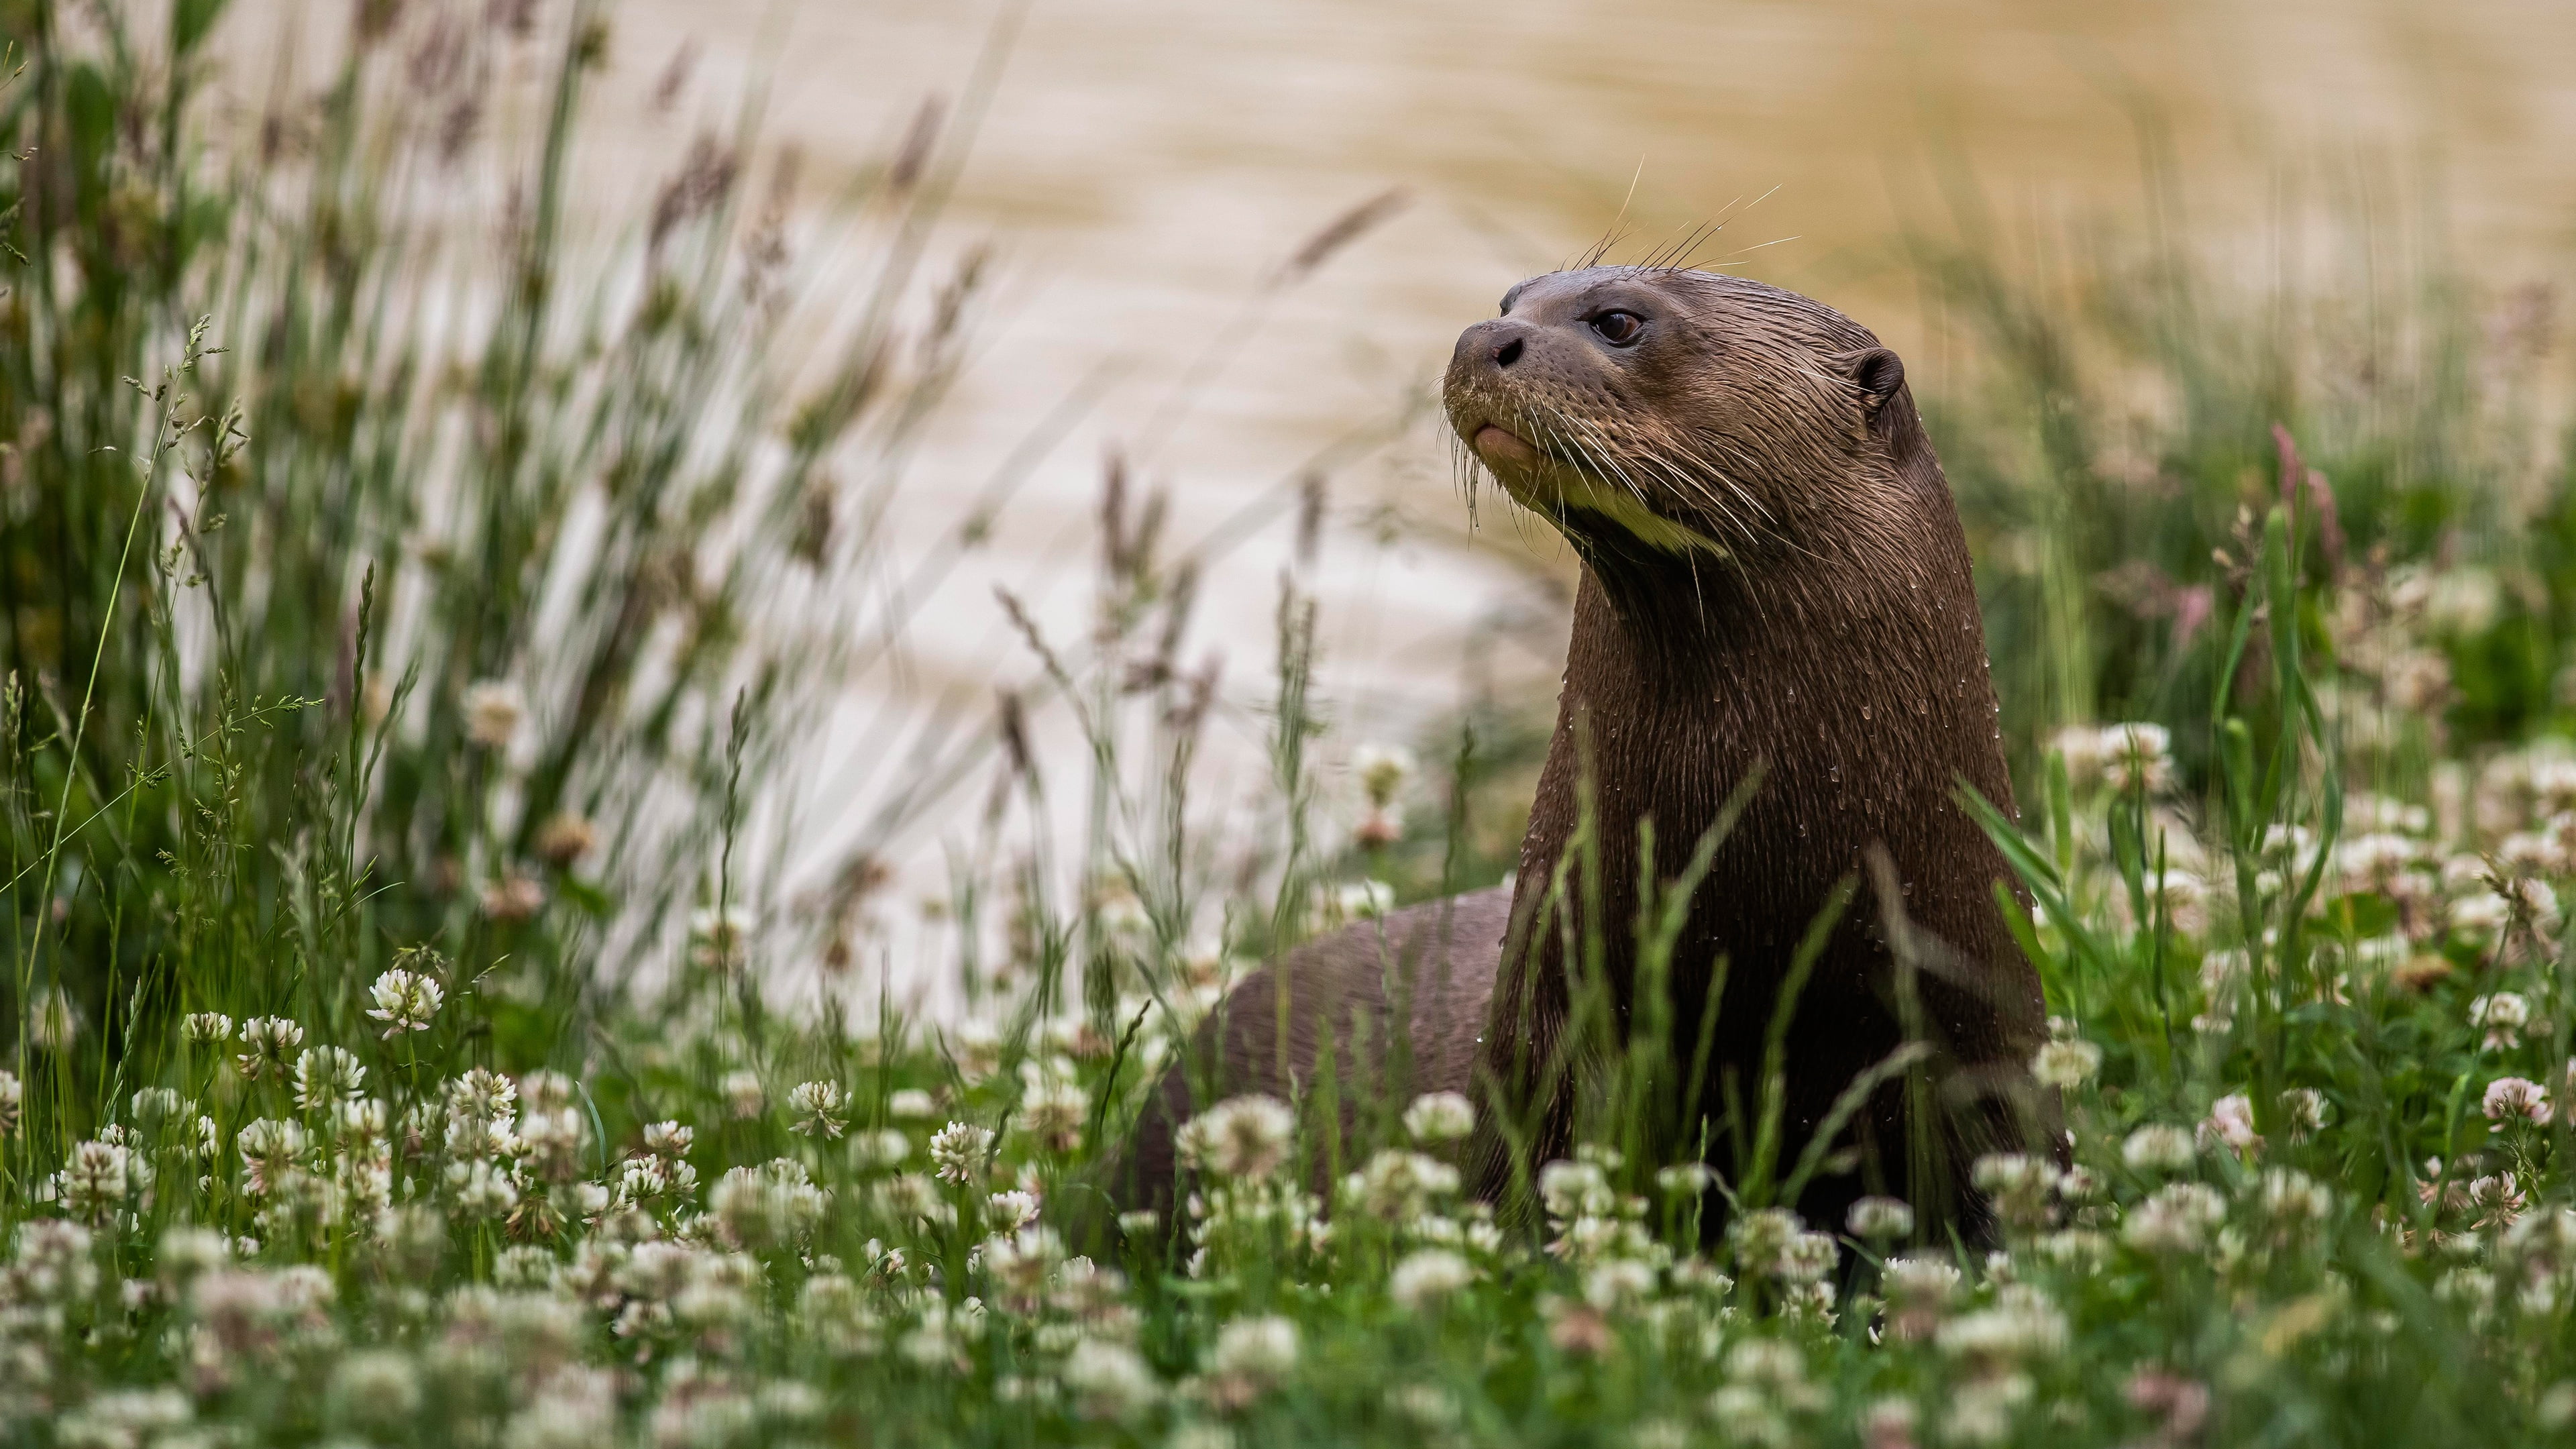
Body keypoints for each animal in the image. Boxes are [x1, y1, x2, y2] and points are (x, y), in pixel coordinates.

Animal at [1109, 266, 2048, 1240]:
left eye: (1620, 322)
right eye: (1511, 298)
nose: (1482, 338)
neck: (1756, 923)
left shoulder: (1985, 1065)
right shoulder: (1545, 1046)